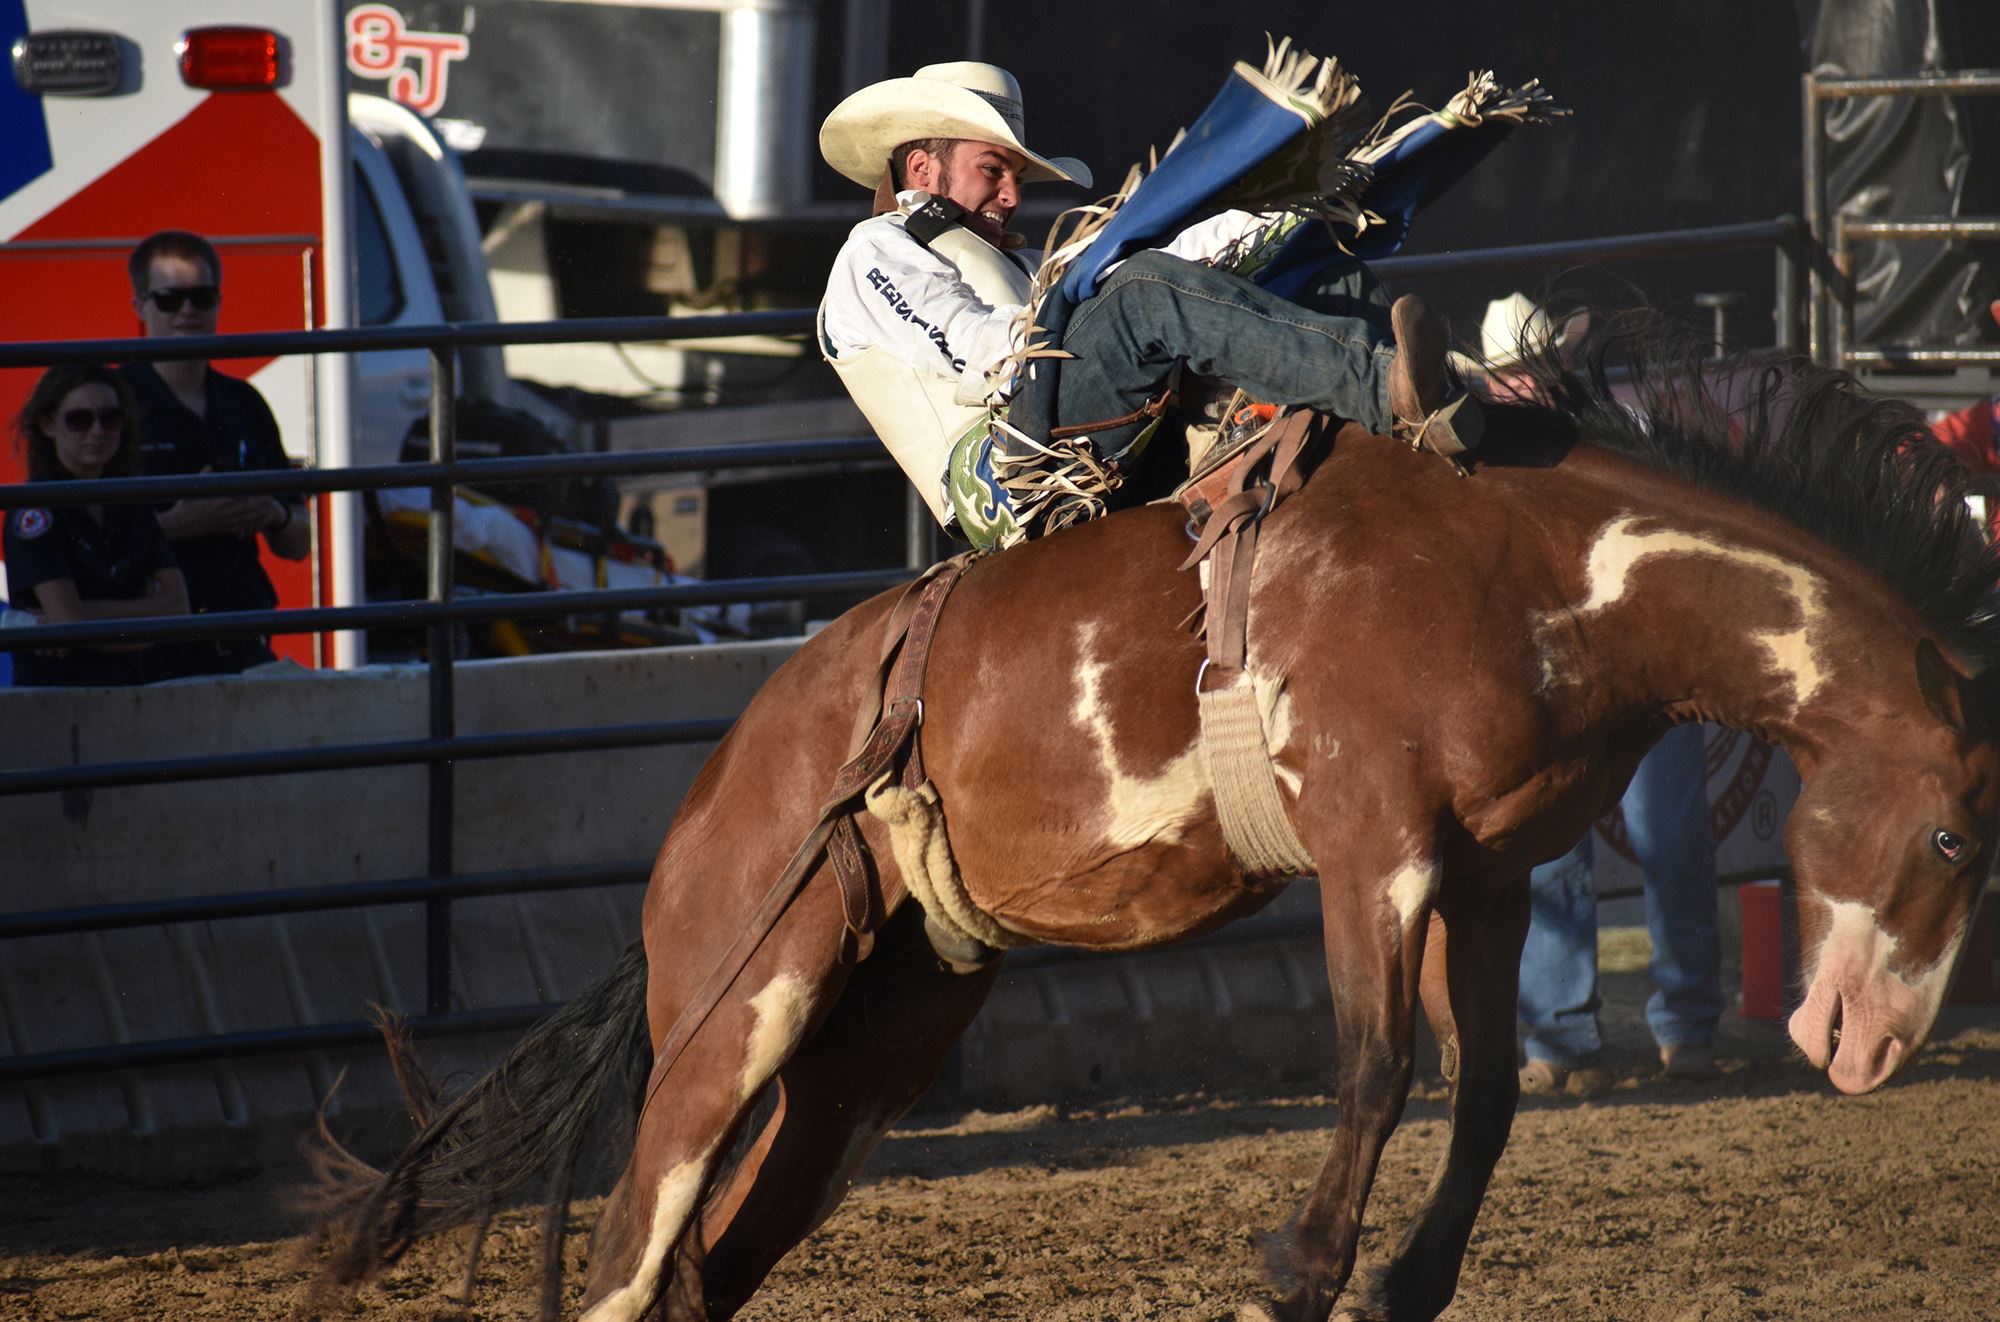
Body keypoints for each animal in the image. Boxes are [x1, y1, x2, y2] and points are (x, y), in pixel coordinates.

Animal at [304, 322, 2000, 1320]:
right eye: (1953, 840)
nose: (1871, 1048)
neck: (1536, 559)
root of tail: (723, 781)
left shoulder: (1492, 870)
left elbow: (1488, 1093)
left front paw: (1403, 1280)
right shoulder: (1373, 845)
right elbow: (1378, 1066)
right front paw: (1298, 1273)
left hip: (872, 1043)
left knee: (713, 1264)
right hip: (743, 1003)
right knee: (628, 1256)